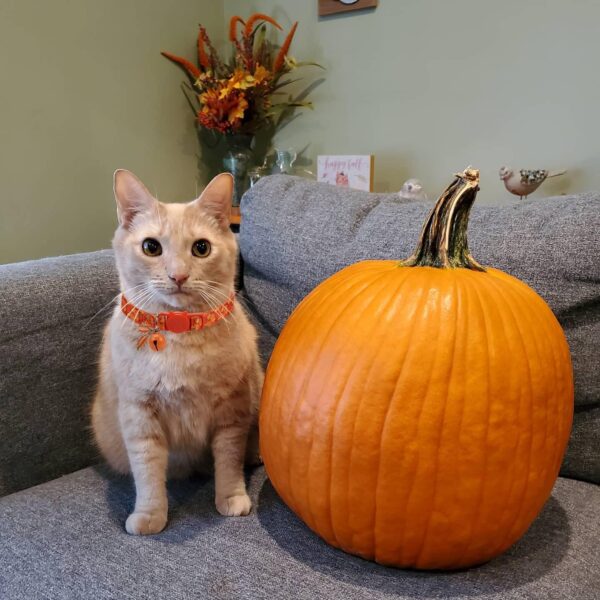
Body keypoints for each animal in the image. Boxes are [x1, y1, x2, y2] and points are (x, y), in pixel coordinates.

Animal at [91, 169, 262, 536]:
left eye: (201, 248)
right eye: (151, 246)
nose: (178, 275)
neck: (180, 333)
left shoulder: (233, 414)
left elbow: (228, 463)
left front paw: (231, 497)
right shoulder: (139, 418)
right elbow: (148, 476)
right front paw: (150, 515)